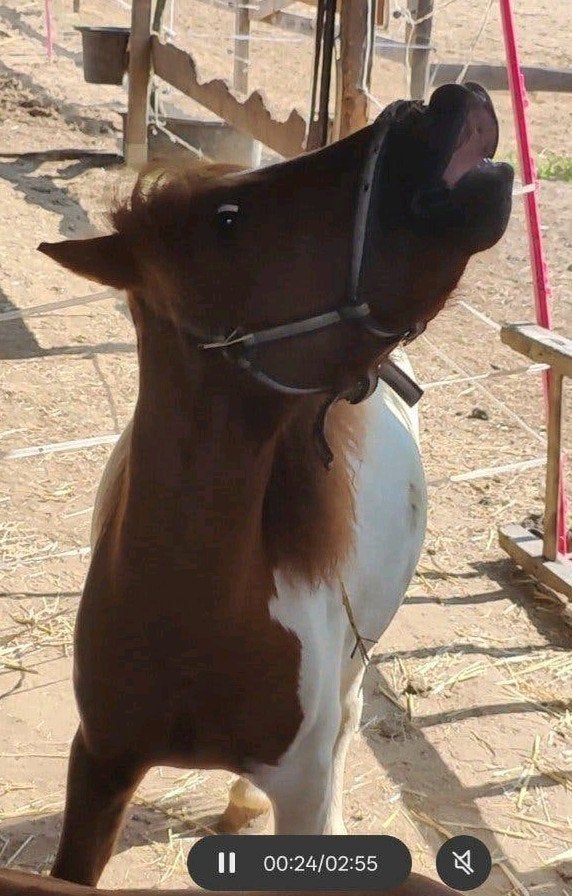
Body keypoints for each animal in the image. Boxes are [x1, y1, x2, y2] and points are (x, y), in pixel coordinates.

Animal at [31, 83, 512, 887]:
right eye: (228, 218)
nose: (450, 99)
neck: (192, 622)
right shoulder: (99, 762)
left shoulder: (301, 781)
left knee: (349, 716)